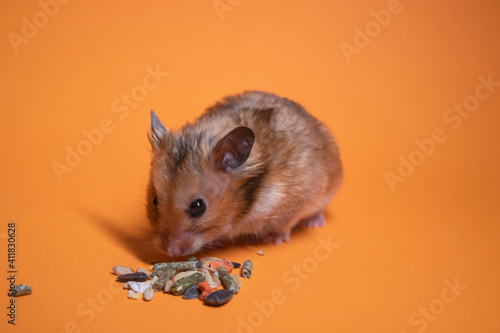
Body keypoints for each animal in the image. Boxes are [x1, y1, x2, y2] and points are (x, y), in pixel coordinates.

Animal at [146, 89, 344, 255]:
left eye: (198, 206)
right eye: (155, 201)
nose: (168, 250)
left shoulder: (298, 200)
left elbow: (285, 225)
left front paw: (273, 240)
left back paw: (313, 223)